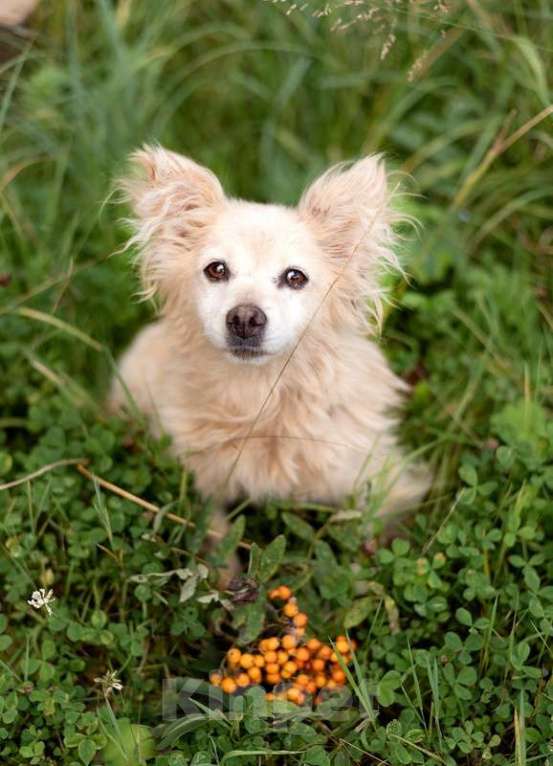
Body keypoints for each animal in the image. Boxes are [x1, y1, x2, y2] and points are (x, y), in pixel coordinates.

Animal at [110, 147, 430, 544]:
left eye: (295, 277)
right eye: (216, 270)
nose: (245, 318)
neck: (260, 394)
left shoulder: (378, 477)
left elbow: (371, 533)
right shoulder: (199, 484)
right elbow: (215, 539)